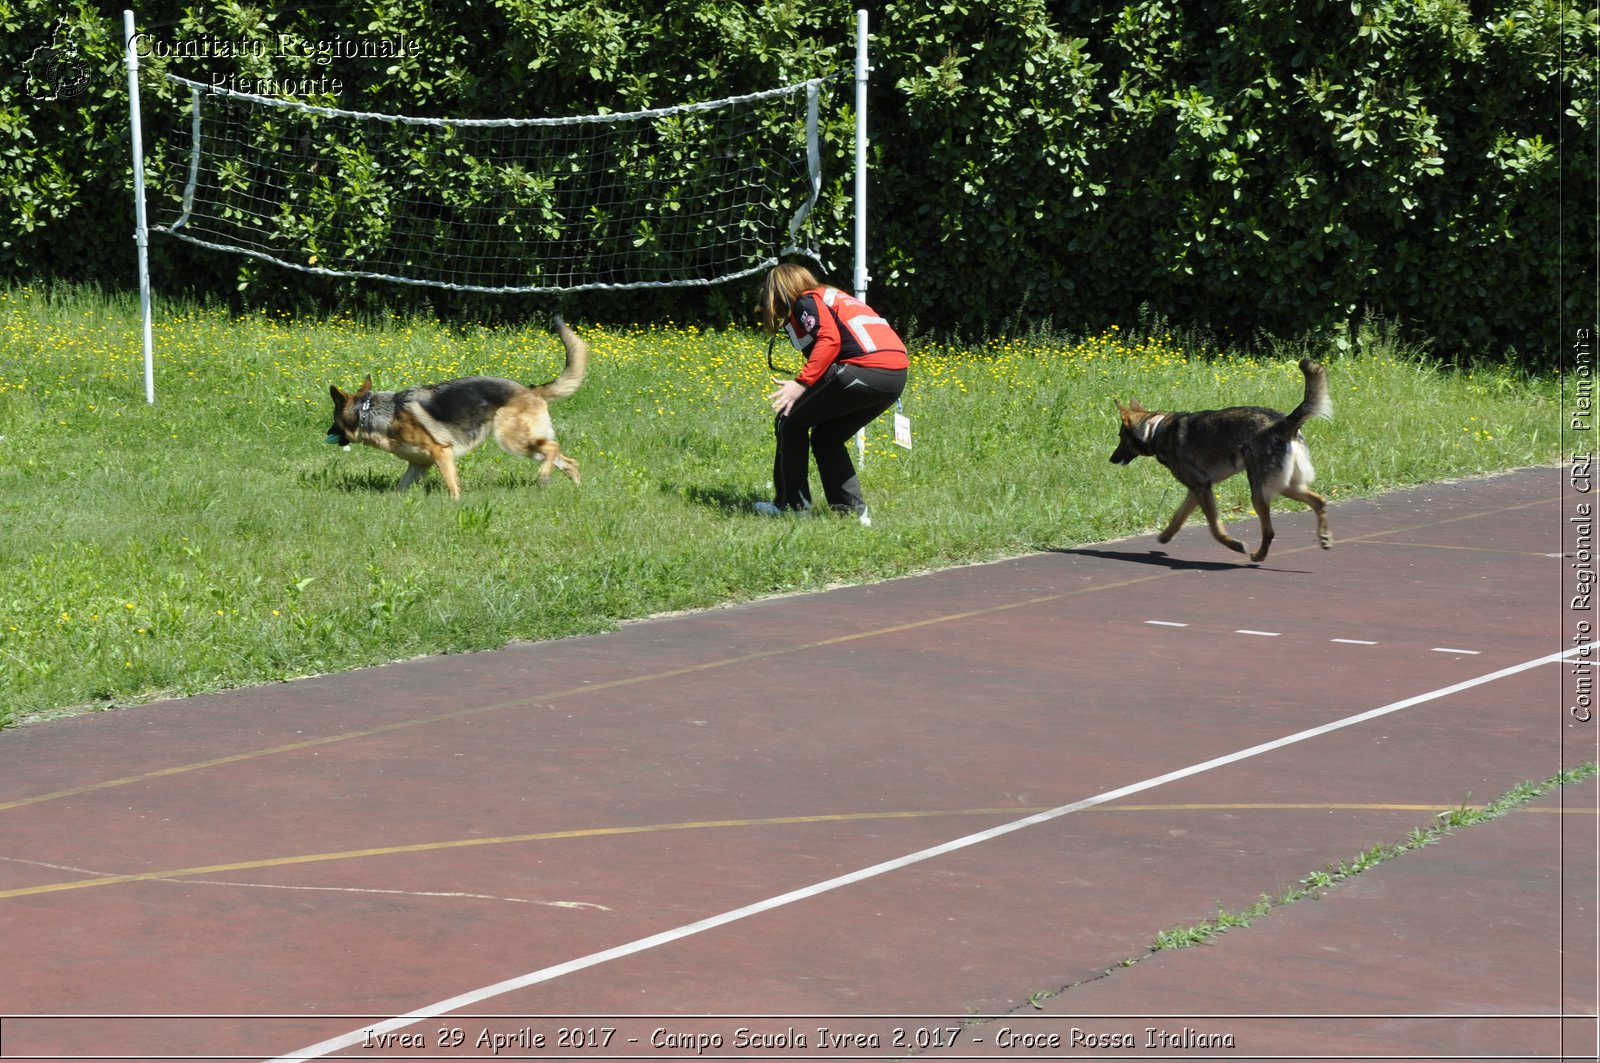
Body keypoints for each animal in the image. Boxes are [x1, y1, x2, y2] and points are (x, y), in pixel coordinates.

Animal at [326, 313, 588, 499]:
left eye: (333, 419)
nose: (326, 434)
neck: (369, 412)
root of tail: (529, 389)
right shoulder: (418, 464)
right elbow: (401, 488)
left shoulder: (442, 453)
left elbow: (451, 486)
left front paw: (455, 505)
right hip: (529, 445)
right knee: (569, 462)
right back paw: (575, 490)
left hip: (512, 440)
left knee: (554, 447)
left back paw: (544, 477)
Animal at [1107, 358, 1331, 563]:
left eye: (1120, 437)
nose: (1111, 459)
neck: (1154, 429)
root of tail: (1283, 423)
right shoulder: (1196, 490)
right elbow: (1178, 518)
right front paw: (1165, 537)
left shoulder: (1202, 489)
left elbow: (1215, 529)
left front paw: (1235, 545)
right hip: (1286, 485)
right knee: (1319, 501)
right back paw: (1325, 538)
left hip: (1260, 492)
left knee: (1270, 531)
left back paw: (1259, 556)